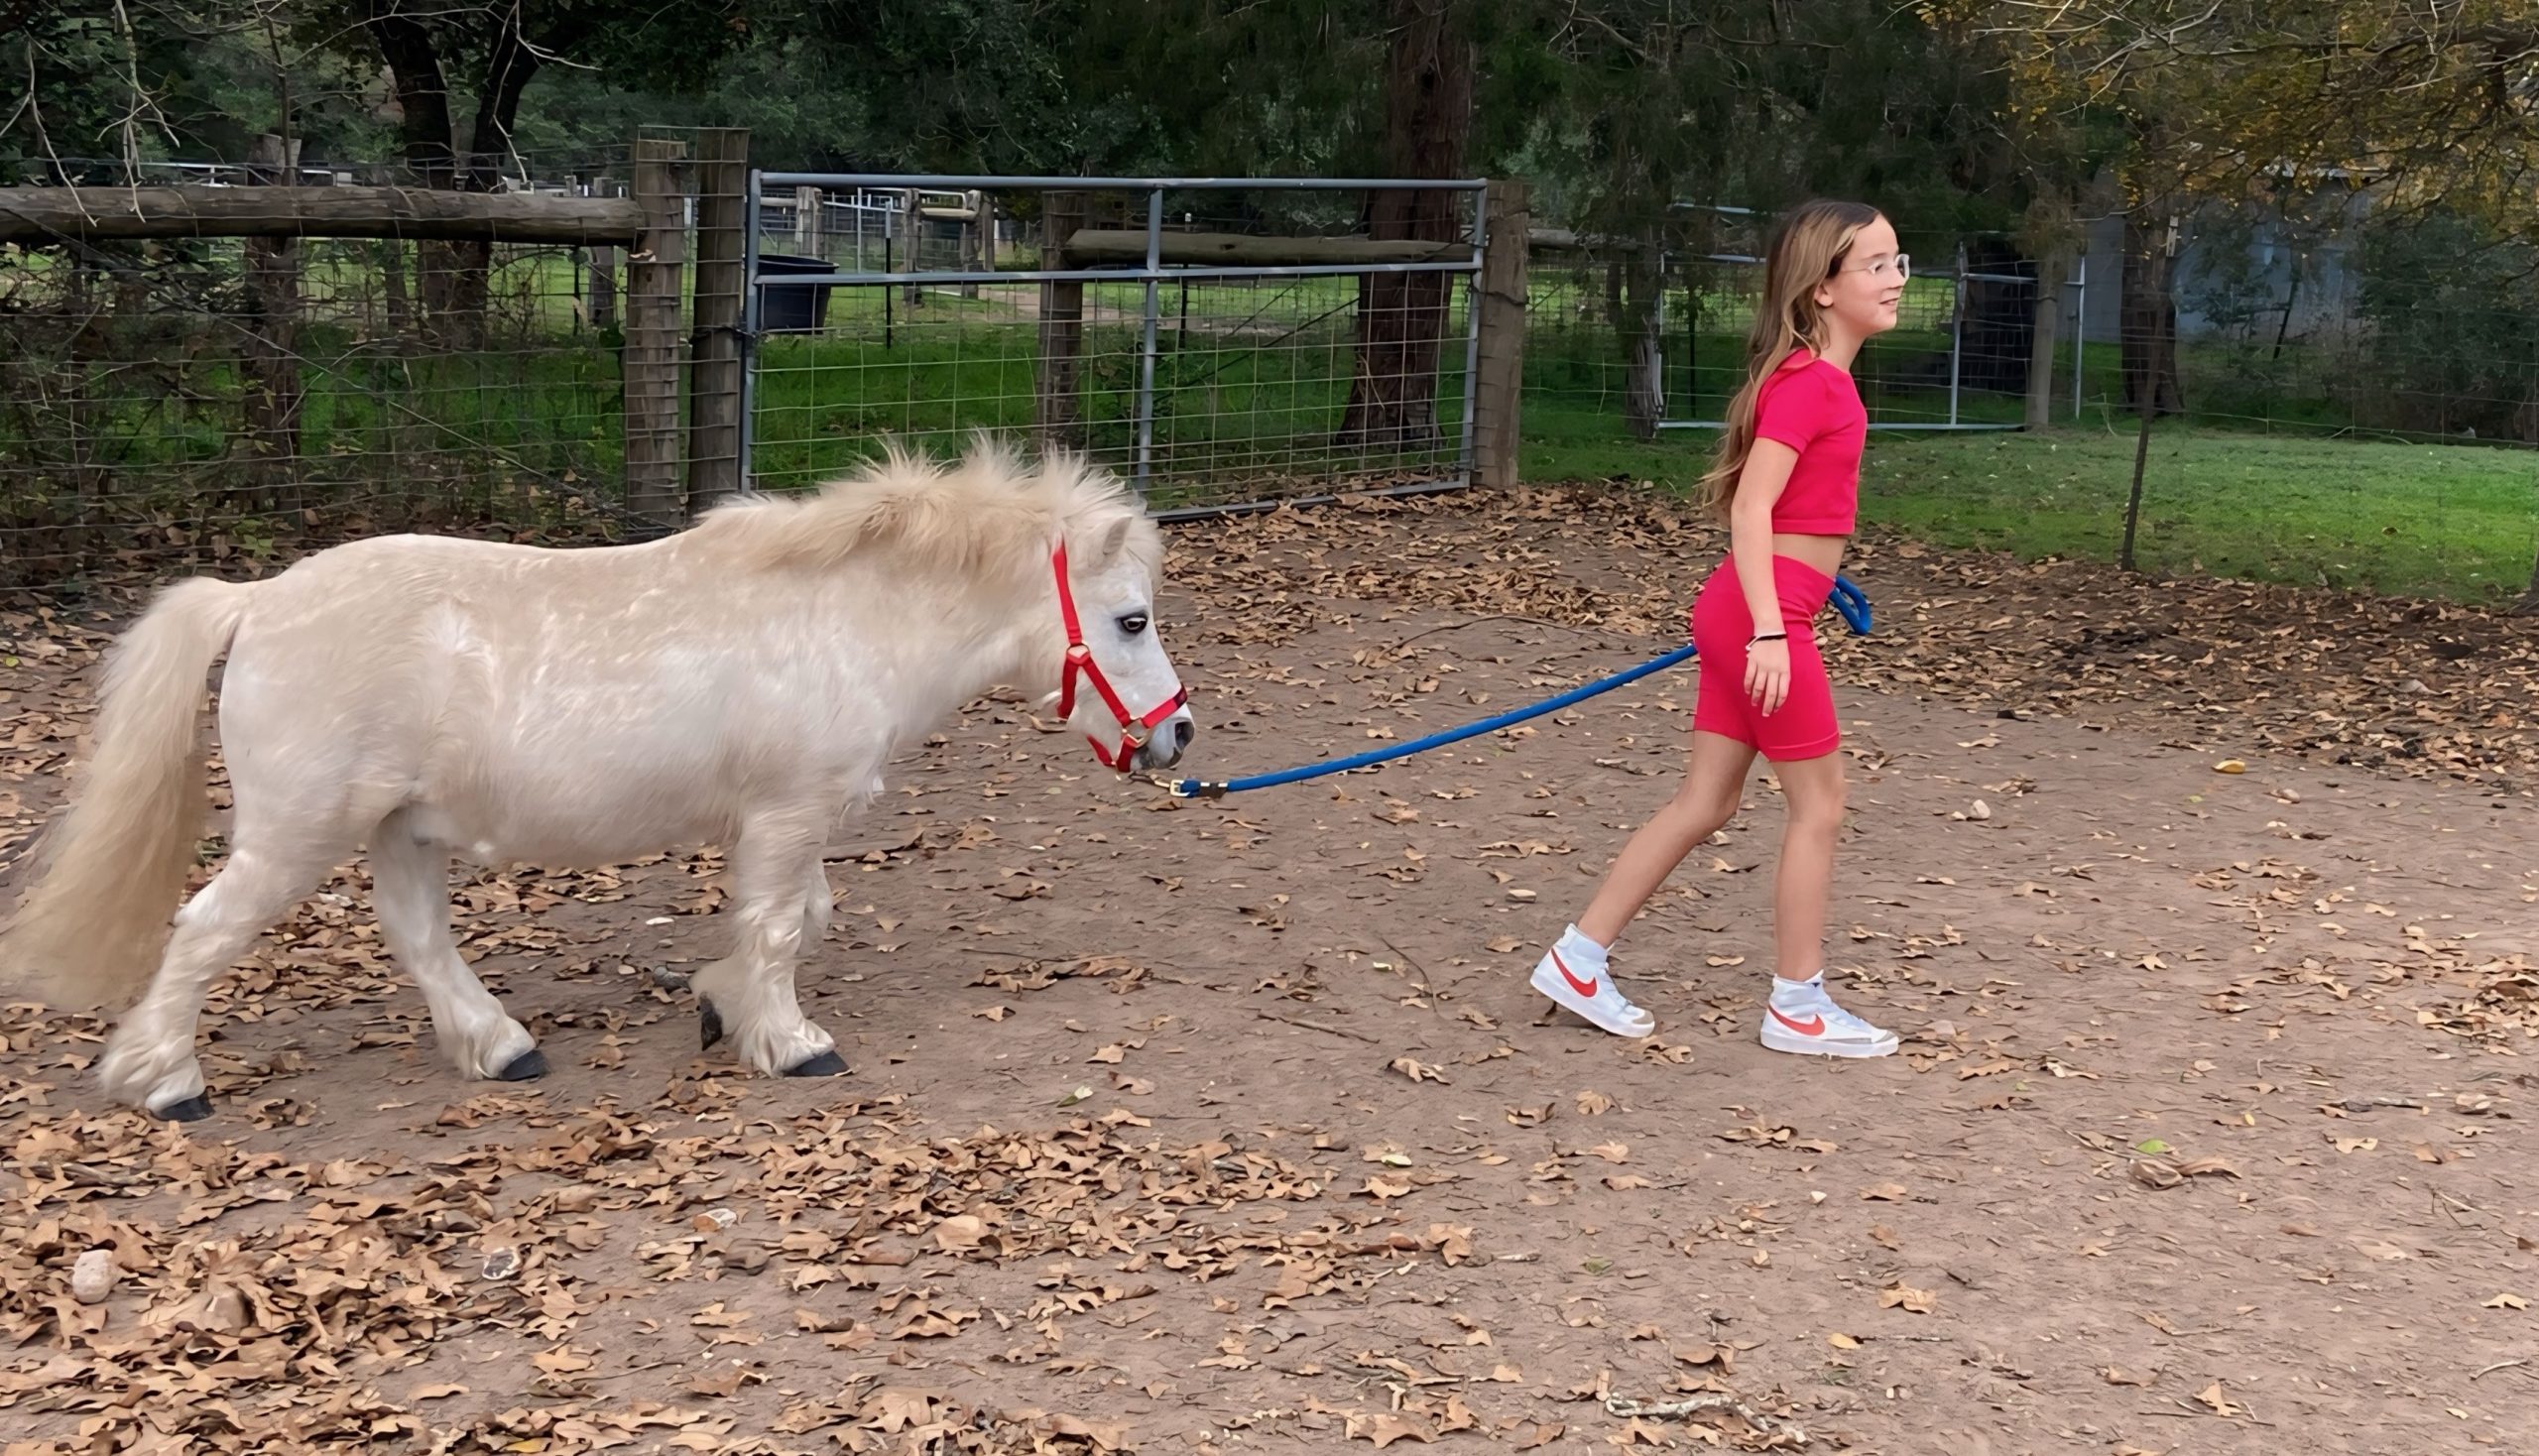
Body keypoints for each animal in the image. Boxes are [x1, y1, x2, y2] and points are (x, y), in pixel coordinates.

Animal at [0, 438, 1196, 1121]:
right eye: (1131, 620)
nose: (1178, 735)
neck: (845, 615)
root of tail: (255, 602)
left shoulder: (781, 824)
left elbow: (795, 919)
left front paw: (720, 1005)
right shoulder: (789, 812)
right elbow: (780, 928)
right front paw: (791, 1043)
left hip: (401, 829)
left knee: (419, 939)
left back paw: (501, 1049)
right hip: (296, 837)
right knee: (204, 931)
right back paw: (166, 1083)